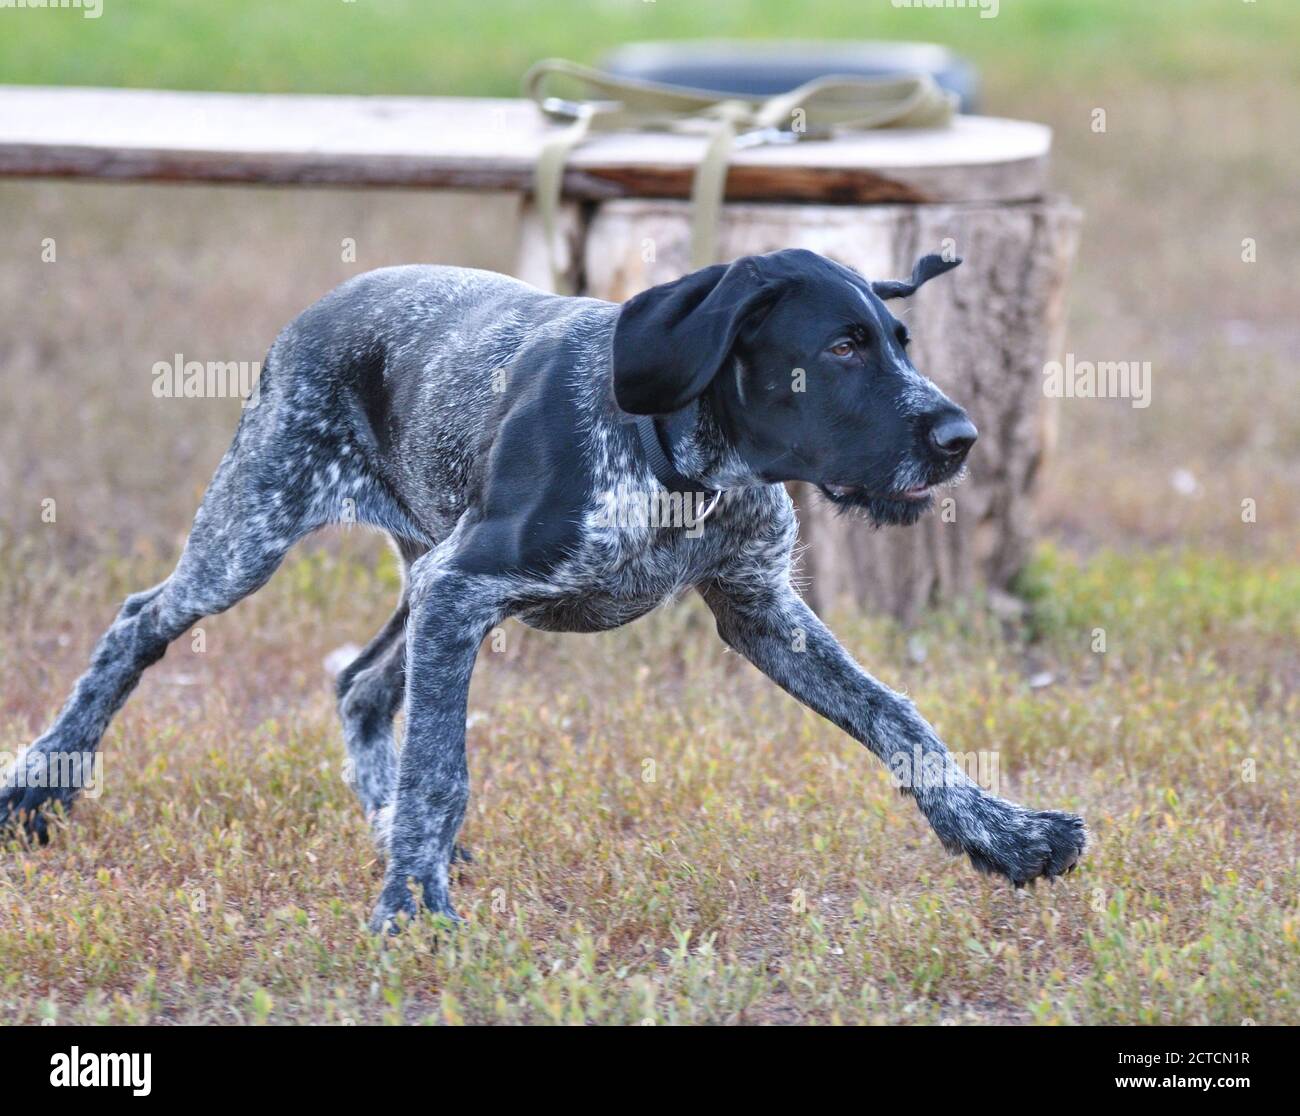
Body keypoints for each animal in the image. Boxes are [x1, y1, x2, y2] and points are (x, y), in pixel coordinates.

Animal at [0, 248, 1086, 926]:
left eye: (899, 340)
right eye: (842, 348)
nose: (961, 439)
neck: (679, 464)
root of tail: (323, 307)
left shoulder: (760, 613)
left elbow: (901, 721)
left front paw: (1004, 835)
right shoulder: (468, 588)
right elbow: (441, 769)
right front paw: (413, 907)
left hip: (418, 568)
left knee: (359, 684)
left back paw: (383, 828)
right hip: (255, 535)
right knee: (140, 624)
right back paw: (43, 782)